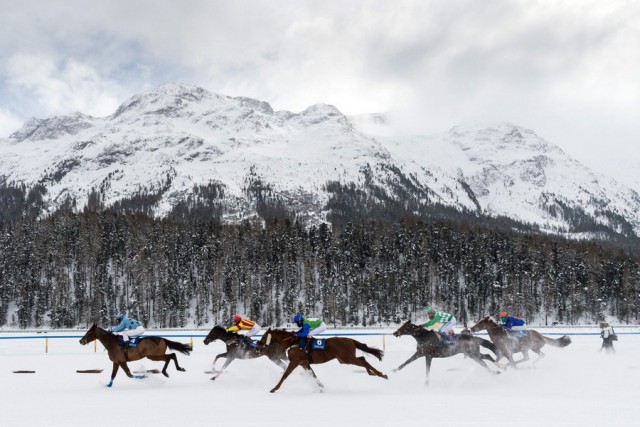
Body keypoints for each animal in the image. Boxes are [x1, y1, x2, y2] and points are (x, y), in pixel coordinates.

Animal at [258, 328, 388, 394]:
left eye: (264, 336)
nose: (258, 343)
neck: (292, 342)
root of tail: (350, 340)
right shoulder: (304, 363)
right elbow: (313, 375)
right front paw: (321, 387)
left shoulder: (294, 362)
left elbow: (285, 375)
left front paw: (274, 389)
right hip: (344, 359)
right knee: (362, 359)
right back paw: (373, 373)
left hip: (348, 358)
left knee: (364, 361)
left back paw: (382, 374)